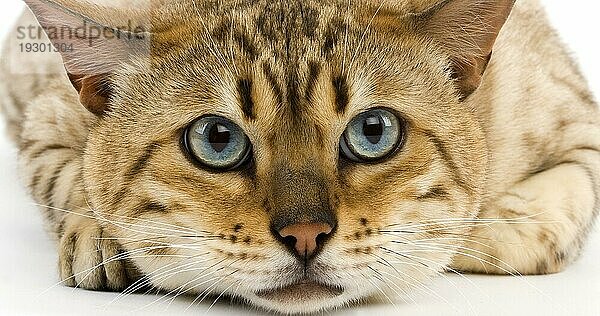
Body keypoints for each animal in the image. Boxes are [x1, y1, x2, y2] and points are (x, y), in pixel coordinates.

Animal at [0, 0, 596, 314]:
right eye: (217, 140)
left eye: (373, 133)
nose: (306, 234)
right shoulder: (42, 119)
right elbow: (68, 179)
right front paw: (102, 241)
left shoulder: (582, 136)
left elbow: (521, 229)